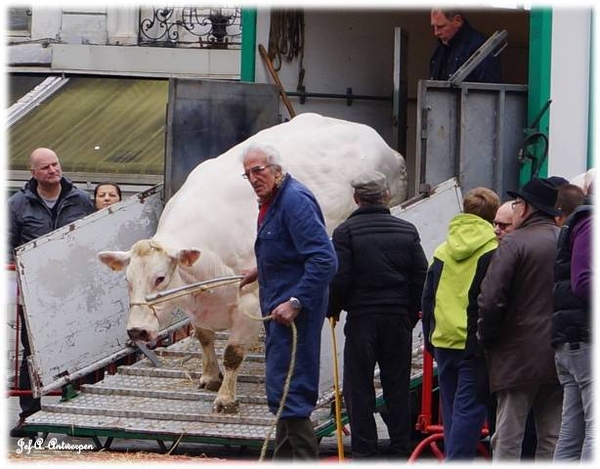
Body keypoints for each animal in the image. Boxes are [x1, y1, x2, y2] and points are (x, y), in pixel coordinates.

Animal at [98, 113, 408, 414]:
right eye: (127, 281)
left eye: (160, 278)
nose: (137, 331)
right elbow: (204, 337)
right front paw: (210, 377)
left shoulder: (250, 301)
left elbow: (233, 353)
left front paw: (226, 399)